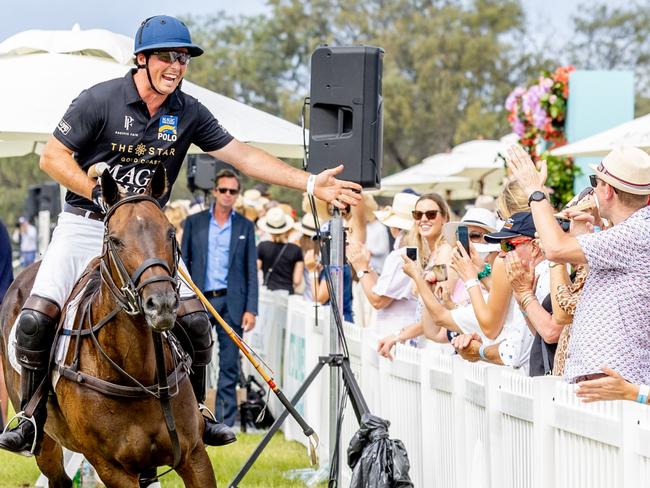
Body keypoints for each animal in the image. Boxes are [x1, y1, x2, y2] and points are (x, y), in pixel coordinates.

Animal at [0, 168, 218, 488]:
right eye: (115, 240)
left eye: (170, 232)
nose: (162, 303)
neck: (140, 375)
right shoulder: (111, 468)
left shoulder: (194, 455)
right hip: (47, 441)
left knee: (198, 323)